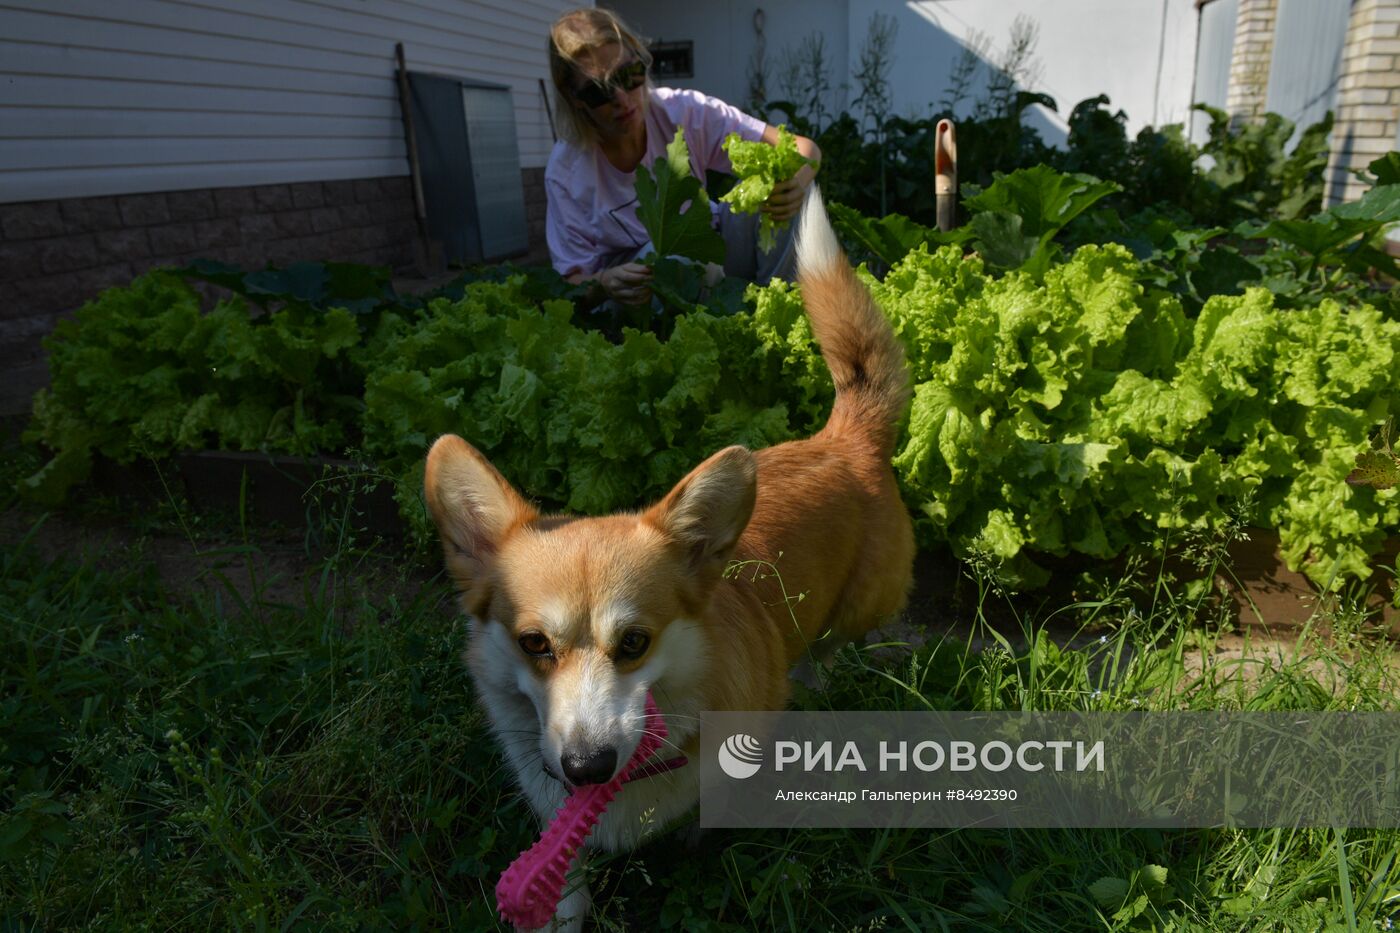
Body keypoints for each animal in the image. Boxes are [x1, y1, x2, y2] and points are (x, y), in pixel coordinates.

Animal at [420, 187, 912, 924]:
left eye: (635, 642)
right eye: (534, 643)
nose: (587, 768)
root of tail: (845, 437)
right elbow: (565, 876)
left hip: (860, 608)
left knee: (831, 645)